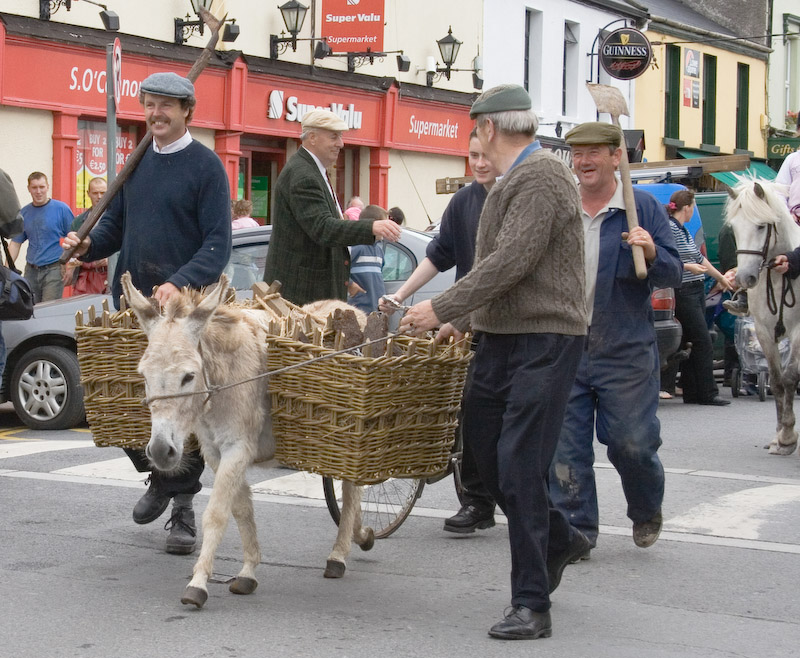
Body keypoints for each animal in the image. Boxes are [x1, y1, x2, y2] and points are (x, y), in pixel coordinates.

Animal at [120, 272, 376, 608]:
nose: (161, 451)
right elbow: (241, 509)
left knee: (351, 490)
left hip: (349, 440)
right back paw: (362, 535)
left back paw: (339, 554)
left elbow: (217, 515)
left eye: (188, 376)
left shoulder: (238, 448)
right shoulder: (216, 453)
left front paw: (198, 584)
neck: (224, 379)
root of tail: (351, 308)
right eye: (143, 375)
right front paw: (248, 572)